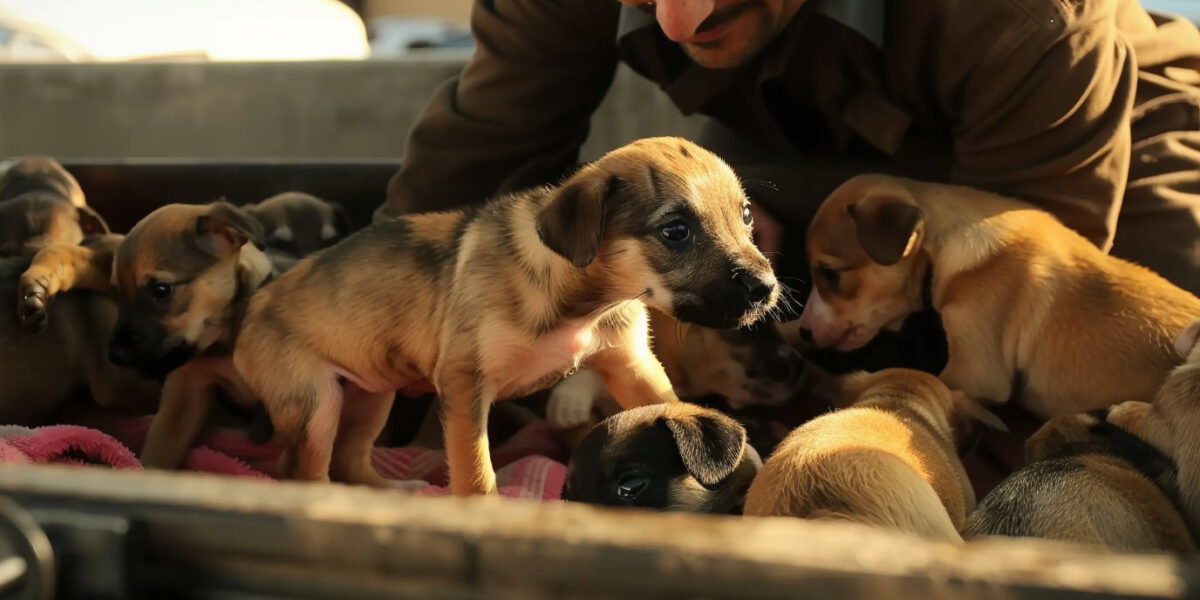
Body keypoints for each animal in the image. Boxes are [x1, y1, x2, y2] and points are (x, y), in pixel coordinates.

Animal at [235, 137, 782, 496]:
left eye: (746, 216)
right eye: (676, 231)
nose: (767, 290)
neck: (583, 300)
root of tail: (250, 312)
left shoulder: (632, 364)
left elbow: (668, 403)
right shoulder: (464, 382)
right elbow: (476, 470)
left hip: (371, 393)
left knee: (349, 459)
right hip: (316, 405)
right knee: (302, 470)